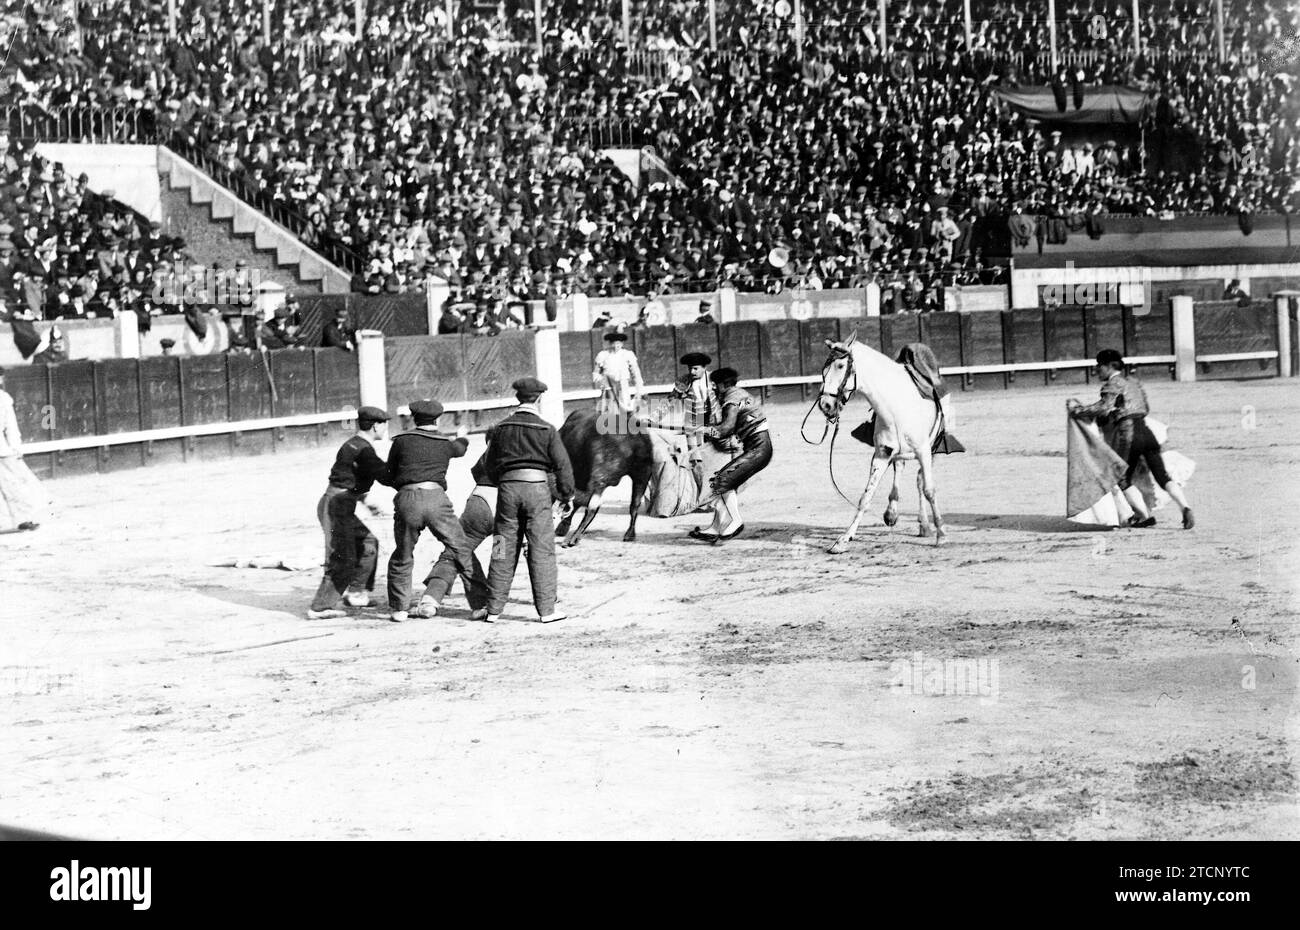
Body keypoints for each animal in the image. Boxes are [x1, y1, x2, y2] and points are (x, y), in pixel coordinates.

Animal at [816, 335, 951, 554]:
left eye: (840, 365)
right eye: (824, 368)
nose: (825, 405)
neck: (895, 405)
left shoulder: (924, 451)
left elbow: (929, 490)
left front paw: (941, 534)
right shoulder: (882, 453)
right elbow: (866, 497)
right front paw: (843, 540)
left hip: (934, 449)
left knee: (920, 480)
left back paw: (925, 525)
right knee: (901, 469)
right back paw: (894, 514)